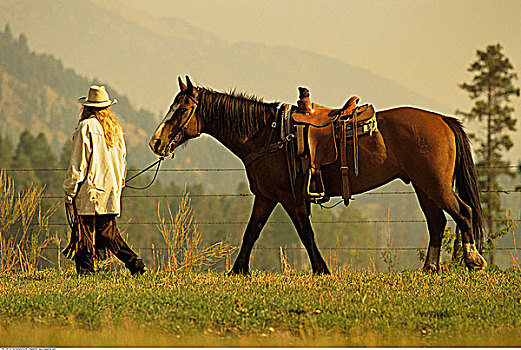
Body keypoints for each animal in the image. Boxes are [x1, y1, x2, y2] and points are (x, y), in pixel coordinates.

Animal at [147, 76, 488, 274]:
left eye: (180, 109)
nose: (156, 142)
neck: (266, 135)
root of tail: (442, 120)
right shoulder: (267, 196)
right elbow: (251, 232)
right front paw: (237, 271)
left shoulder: (290, 197)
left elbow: (305, 233)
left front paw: (321, 269)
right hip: (423, 186)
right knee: (438, 222)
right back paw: (430, 269)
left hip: (435, 184)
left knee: (463, 212)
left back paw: (473, 260)